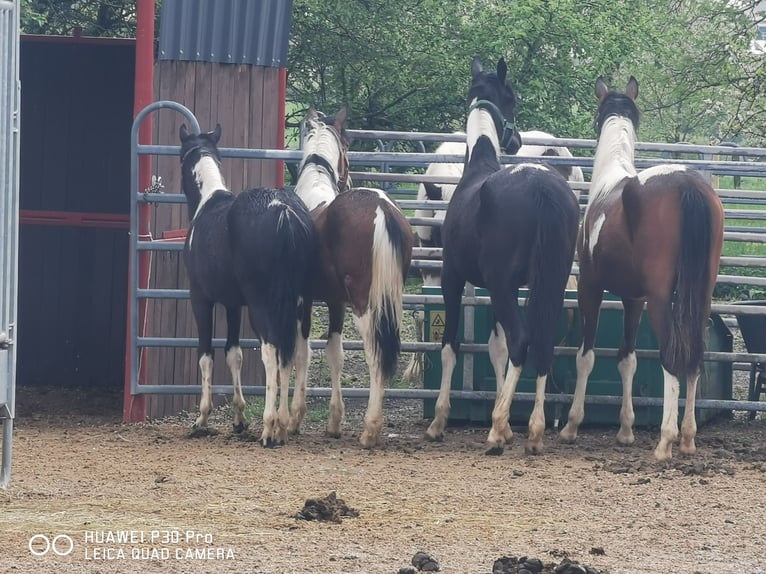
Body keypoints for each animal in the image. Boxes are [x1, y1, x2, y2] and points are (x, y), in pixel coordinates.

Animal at [178, 125, 316, 450]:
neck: (207, 203)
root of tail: (283, 210)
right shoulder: (232, 304)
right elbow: (234, 353)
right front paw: (239, 419)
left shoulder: (201, 299)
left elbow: (206, 355)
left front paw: (202, 419)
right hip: (301, 303)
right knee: (299, 351)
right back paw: (288, 423)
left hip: (262, 306)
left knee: (271, 352)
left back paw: (270, 428)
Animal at [294, 108, 414, 450]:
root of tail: (382, 208)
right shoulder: (335, 302)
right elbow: (335, 354)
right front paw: (334, 422)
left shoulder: (302, 298)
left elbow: (302, 353)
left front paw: (292, 417)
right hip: (390, 301)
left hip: (364, 304)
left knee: (375, 354)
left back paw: (370, 429)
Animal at [426, 56, 584, 456]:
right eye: (512, 98)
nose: (517, 140)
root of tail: (542, 188)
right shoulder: (500, 289)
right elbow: (495, 348)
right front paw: (509, 420)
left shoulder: (455, 279)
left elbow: (451, 345)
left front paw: (439, 421)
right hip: (551, 283)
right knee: (540, 340)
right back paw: (535, 431)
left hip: (501, 286)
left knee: (522, 339)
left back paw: (497, 431)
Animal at [560, 77, 728, 464]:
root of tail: (688, 185)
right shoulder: (633, 299)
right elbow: (627, 359)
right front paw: (625, 431)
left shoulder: (591, 287)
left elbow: (586, 356)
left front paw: (572, 425)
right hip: (701, 296)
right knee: (694, 357)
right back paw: (687, 438)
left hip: (661, 299)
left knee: (671, 355)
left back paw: (665, 442)